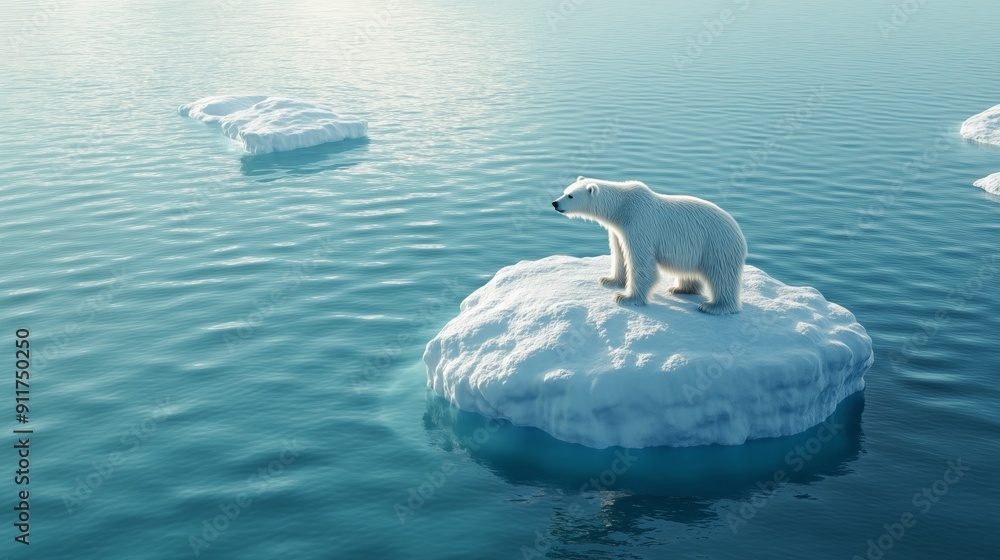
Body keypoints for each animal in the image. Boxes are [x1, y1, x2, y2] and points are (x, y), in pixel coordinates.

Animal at [552, 177, 747, 314]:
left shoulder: (639, 225)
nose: (555, 203)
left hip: (717, 246)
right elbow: (619, 254)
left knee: (722, 276)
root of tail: (739, 233)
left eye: (570, 195)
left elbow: (641, 263)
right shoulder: (618, 230)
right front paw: (609, 280)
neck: (622, 208)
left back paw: (713, 306)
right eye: (565, 190)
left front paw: (625, 297)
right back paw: (680, 288)